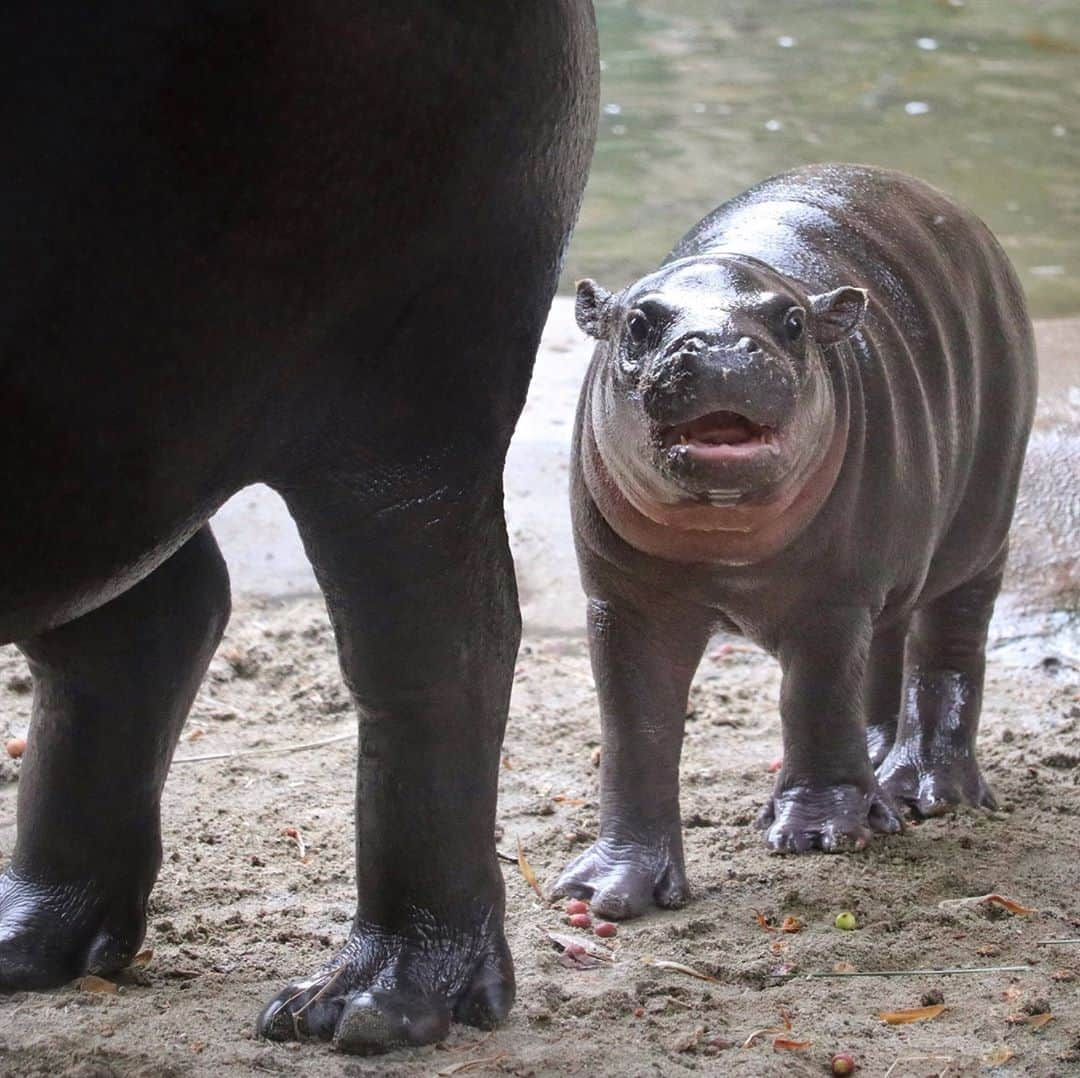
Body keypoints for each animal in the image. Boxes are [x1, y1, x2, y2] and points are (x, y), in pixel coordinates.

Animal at [0, 0, 600, 1054]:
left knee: (438, 653)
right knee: (134, 631)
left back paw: (371, 1004)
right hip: (94, 427)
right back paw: (31, 938)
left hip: (406, 389)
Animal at [557, 162, 1036, 920]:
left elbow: (814, 697)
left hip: (979, 529)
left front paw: (819, 834)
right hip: (894, 557)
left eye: (791, 322)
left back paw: (926, 792)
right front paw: (604, 892)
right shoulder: (623, 601)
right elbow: (636, 732)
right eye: (637, 322)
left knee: (949, 644)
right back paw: (880, 781)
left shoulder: (831, 600)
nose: (723, 345)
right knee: (887, 645)